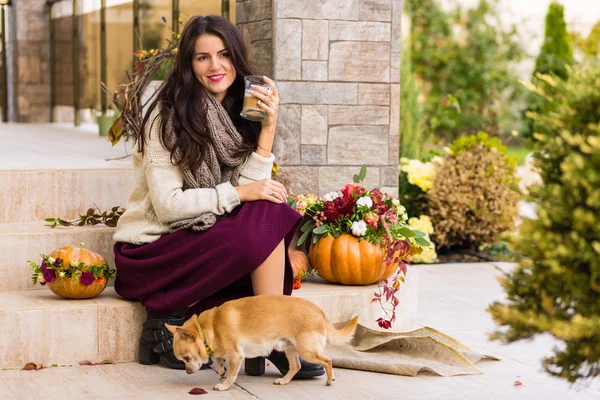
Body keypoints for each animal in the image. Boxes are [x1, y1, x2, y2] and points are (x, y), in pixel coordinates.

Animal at [165, 294, 356, 390]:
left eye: (187, 358)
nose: (187, 371)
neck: (207, 327)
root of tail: (321, 313)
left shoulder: (236, 356)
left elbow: (232, 374)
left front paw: (225, 385)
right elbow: (219, 359)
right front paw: (220, 369)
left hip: (306, 351)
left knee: (327, 361)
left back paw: (329, 380)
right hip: (290, 349)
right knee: (296, 366)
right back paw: (284, 381)